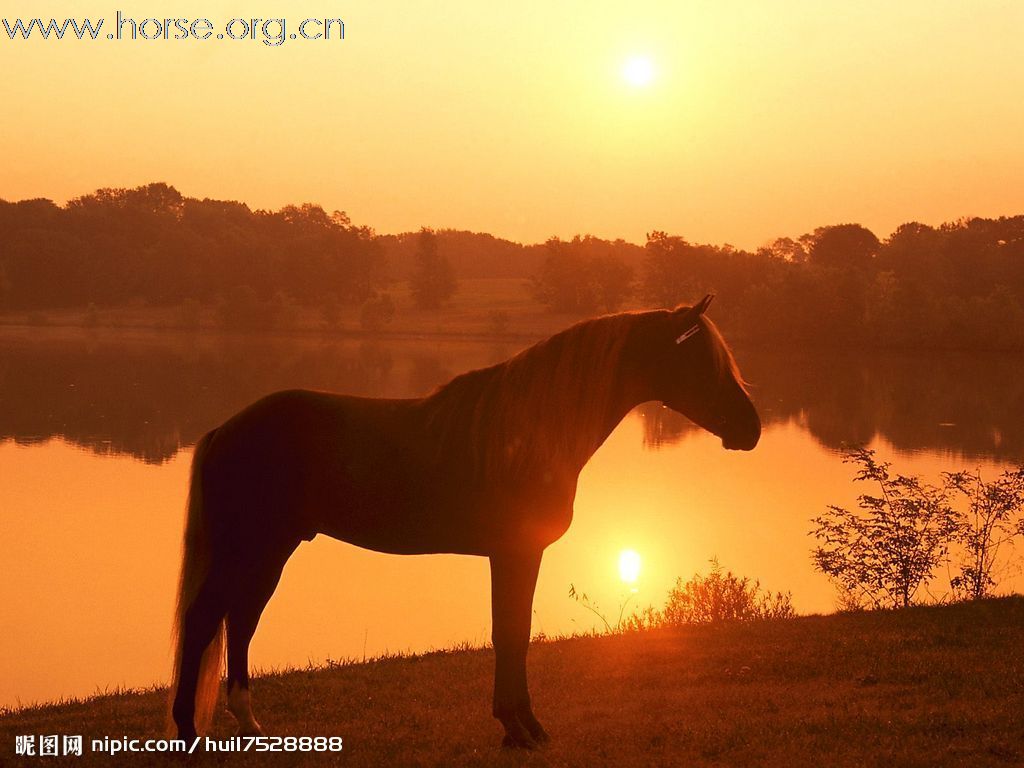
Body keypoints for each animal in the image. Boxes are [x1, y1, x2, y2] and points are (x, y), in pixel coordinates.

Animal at [169, 296, 761, 753]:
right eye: (703, 360)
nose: (751, 428)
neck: (529, 428)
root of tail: (226, 428)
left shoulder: (514, 554)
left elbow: (512, 633)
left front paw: (517, 728)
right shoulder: (517, 552)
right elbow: (512, 633)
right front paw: (523, 729)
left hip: (271, 550)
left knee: (240, 621)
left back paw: (249, 724)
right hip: (249, 549)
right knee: (205, 620)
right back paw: (187, 731)